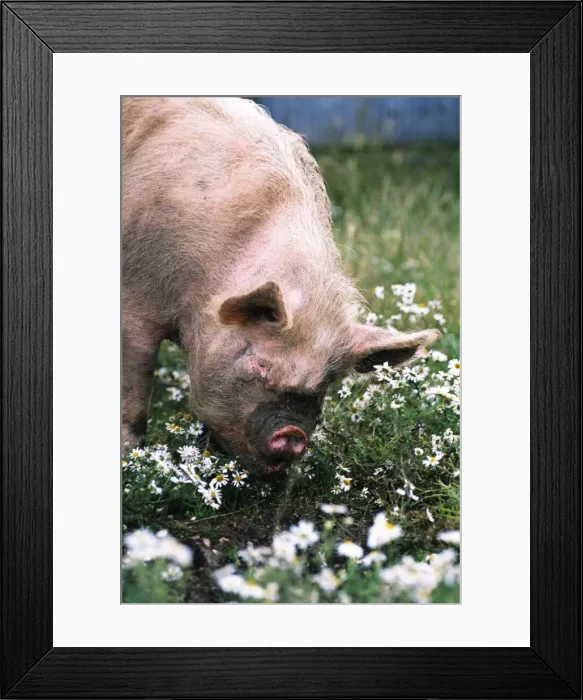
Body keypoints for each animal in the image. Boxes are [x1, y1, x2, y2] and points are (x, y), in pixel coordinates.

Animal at [122, 97, 438, 475]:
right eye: (260, 363)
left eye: (327, 380)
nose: (291, 434)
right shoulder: (136, 303)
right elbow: (134, 393)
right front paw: (131, 459)